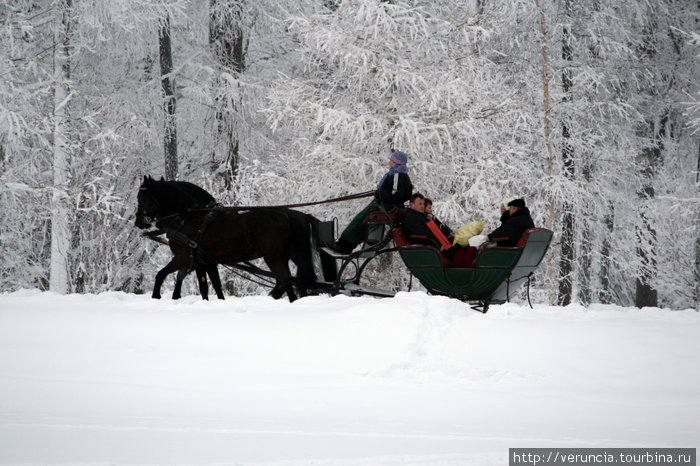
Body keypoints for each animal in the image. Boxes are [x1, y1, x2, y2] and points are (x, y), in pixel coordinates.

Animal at [133, 176, 318, 302]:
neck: (188, 217)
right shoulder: (204, 262)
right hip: (291, 255)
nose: (138, 222)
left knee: (285, 281)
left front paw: (156, 296)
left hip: (274, 257)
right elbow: (210, 286)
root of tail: (289, 214)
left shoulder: (182, 258)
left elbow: (160, 274)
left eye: (140, 198)